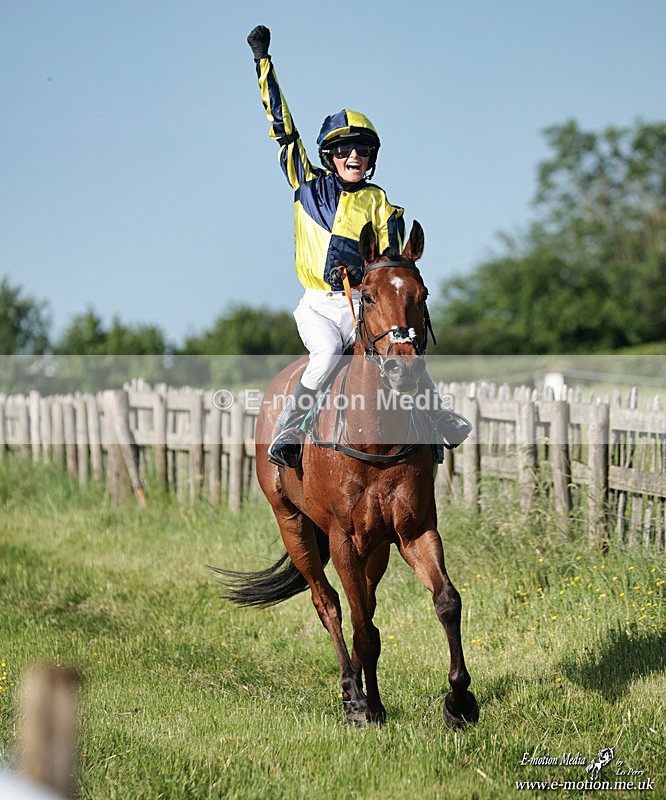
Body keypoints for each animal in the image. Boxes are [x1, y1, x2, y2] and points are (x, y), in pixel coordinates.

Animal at [216, 220, 479, 728]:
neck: (375, 439)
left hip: (376, 547)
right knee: (329, 604)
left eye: (422, 293)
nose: (403, 368)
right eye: (370, 295)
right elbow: (359, 623)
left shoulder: (415, 530)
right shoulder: (342, 538)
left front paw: (459, 701)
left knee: (367, 603)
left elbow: (446, 601)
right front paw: (366, 705)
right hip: (294, 524)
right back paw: (352, 691)